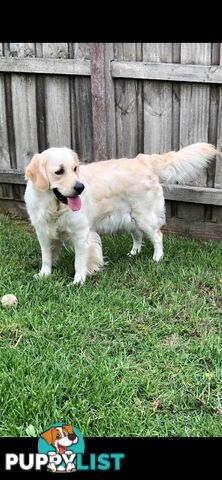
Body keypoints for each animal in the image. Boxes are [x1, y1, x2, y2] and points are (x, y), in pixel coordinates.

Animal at [24, 144, 217, 284]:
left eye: (75, 169)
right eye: (59, 171)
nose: (80, 187)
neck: (54, 206)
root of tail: (144, 160)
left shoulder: (80, 235)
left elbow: (79, 262)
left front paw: (78, 281)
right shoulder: (42, 233)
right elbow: (46, 257)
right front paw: (44, 274)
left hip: (144, 216)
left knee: (158, 236)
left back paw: (157, 258)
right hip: (130, 219)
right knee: (138, 236)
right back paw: (134, 253)